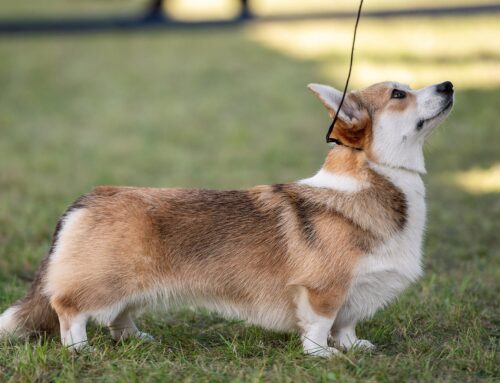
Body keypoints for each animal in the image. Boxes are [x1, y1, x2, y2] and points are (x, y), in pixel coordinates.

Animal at [0, 80, 454, 356]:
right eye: (399, 94)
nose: (448, 85)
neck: (373, 180)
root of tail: (86, 199)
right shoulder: (323, 289)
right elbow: (320, 326)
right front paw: (323, 355)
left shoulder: (357, 292)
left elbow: (348, 324)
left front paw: (353, 347)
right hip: (105, 281)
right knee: (68, 306)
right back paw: (79, 348)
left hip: (134, 284)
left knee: (119, 314)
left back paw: (134, 337)